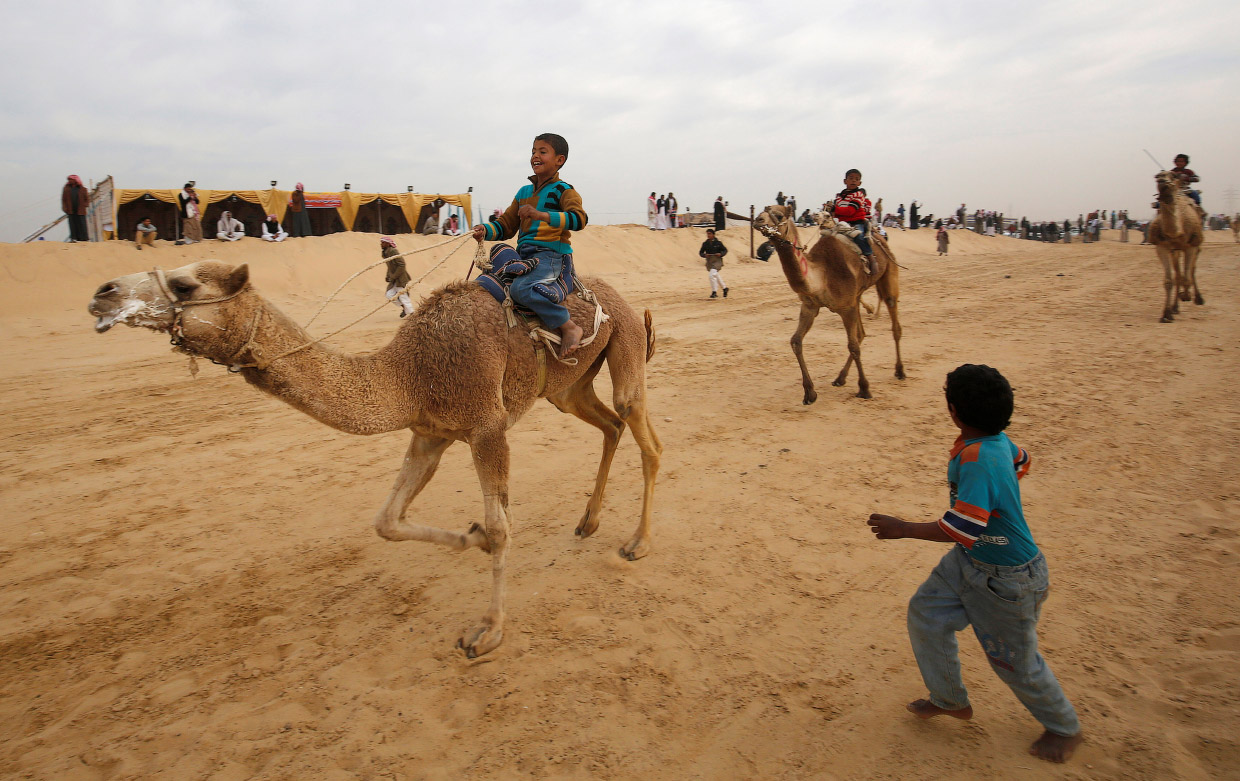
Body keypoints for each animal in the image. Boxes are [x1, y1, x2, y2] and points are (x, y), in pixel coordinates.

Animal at [88, 260, 664, 659]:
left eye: (186, 285)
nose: (102, 293)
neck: (408, 372)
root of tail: (625, 301)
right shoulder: (430, 433)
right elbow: (387, 520)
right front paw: (472, 536)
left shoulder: (486, 427)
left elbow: (503, 528)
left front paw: (488, 632)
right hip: (566, 388)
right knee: (610, 425)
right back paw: (588, 521)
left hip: (625, 343)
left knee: (643, 433)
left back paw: (637, 543)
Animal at [748, 207, 907, 404]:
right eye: (764, 210)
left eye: (779, 215)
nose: (758, 220)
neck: (821, 275)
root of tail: (880, 237)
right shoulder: (810, 306)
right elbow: (796, 341)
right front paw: (809, 393)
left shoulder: (846, 308)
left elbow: (853, 346)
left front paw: (864, 389)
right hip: (856, 296)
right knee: (861, 333)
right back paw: (840, 378)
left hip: (888, 273)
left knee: (894, 323)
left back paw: (900, 371)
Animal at [1145, 172, 1205, 324]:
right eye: (1157, 177)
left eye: (1171, 176)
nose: (1162, 180)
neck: (1177, 230)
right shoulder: (1162, 247)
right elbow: (1169, 281)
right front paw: (1166, 314)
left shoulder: (1191, 246)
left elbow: (1188, 276)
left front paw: (1187, 295)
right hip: (1175, 251)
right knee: (1178, 275)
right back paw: (1175, 307)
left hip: (1197, 244)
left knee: (1192, 270)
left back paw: (1197, 298)